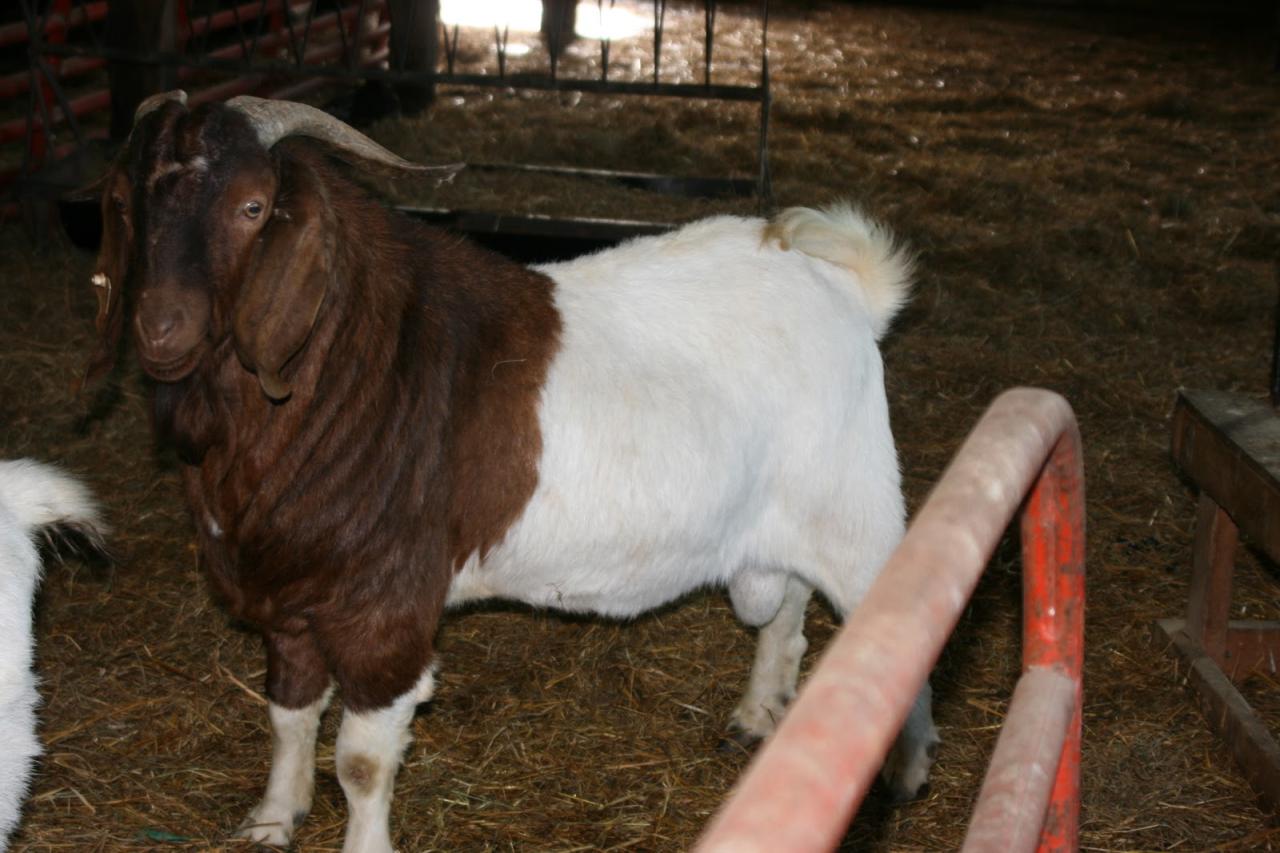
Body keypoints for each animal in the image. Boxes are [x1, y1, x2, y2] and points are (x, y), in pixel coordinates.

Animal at [85, 90, 938, 852]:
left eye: (253, 206)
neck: (345, 357)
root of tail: (853, 290)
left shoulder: (385, 606)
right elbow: (289, 713)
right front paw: (271, 817)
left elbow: (360, 761)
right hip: (777, 524)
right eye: (125, 202)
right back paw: (761, 713)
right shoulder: (288, 597)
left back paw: (908, 766)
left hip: (858, 510)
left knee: (898, 622)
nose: (161, 329)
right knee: (784, 605)